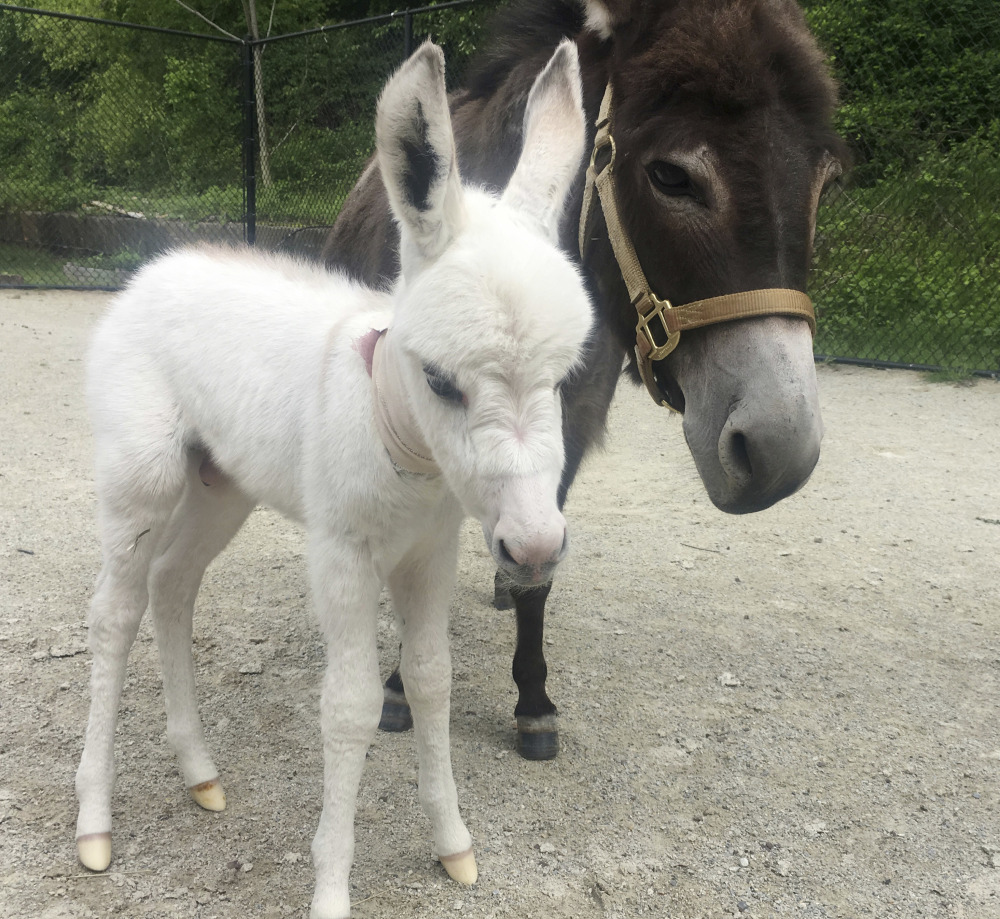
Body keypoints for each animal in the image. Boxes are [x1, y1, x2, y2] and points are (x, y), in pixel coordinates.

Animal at [76, 39, 592, 916]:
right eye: (442, 380)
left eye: (564, 377)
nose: (532, 548)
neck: (400, 446)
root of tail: (159, 265)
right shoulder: (342, 556)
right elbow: (349, 707)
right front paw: (331, 887)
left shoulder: (431, 552)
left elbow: (430, 680)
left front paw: (453, 844)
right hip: (139, 477)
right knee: (115, 611)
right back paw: (94, 822)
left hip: (222, 484)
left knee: (173, 584)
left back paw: (199, 771)